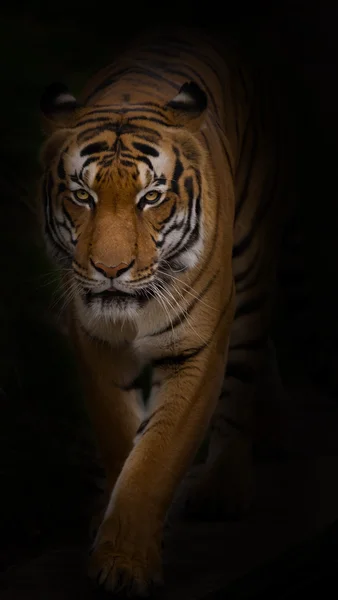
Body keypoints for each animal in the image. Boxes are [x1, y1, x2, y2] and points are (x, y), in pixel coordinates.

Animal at [37, 24, 290, 596]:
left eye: (150, 197)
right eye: (82, 195)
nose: (110, 269)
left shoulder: (197, 349)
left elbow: (156, 456)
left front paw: (124, 564)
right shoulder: (95, 343)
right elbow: (120, 435)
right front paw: (108, 525)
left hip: (250, 268)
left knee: (242, 382)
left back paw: (224, 486)